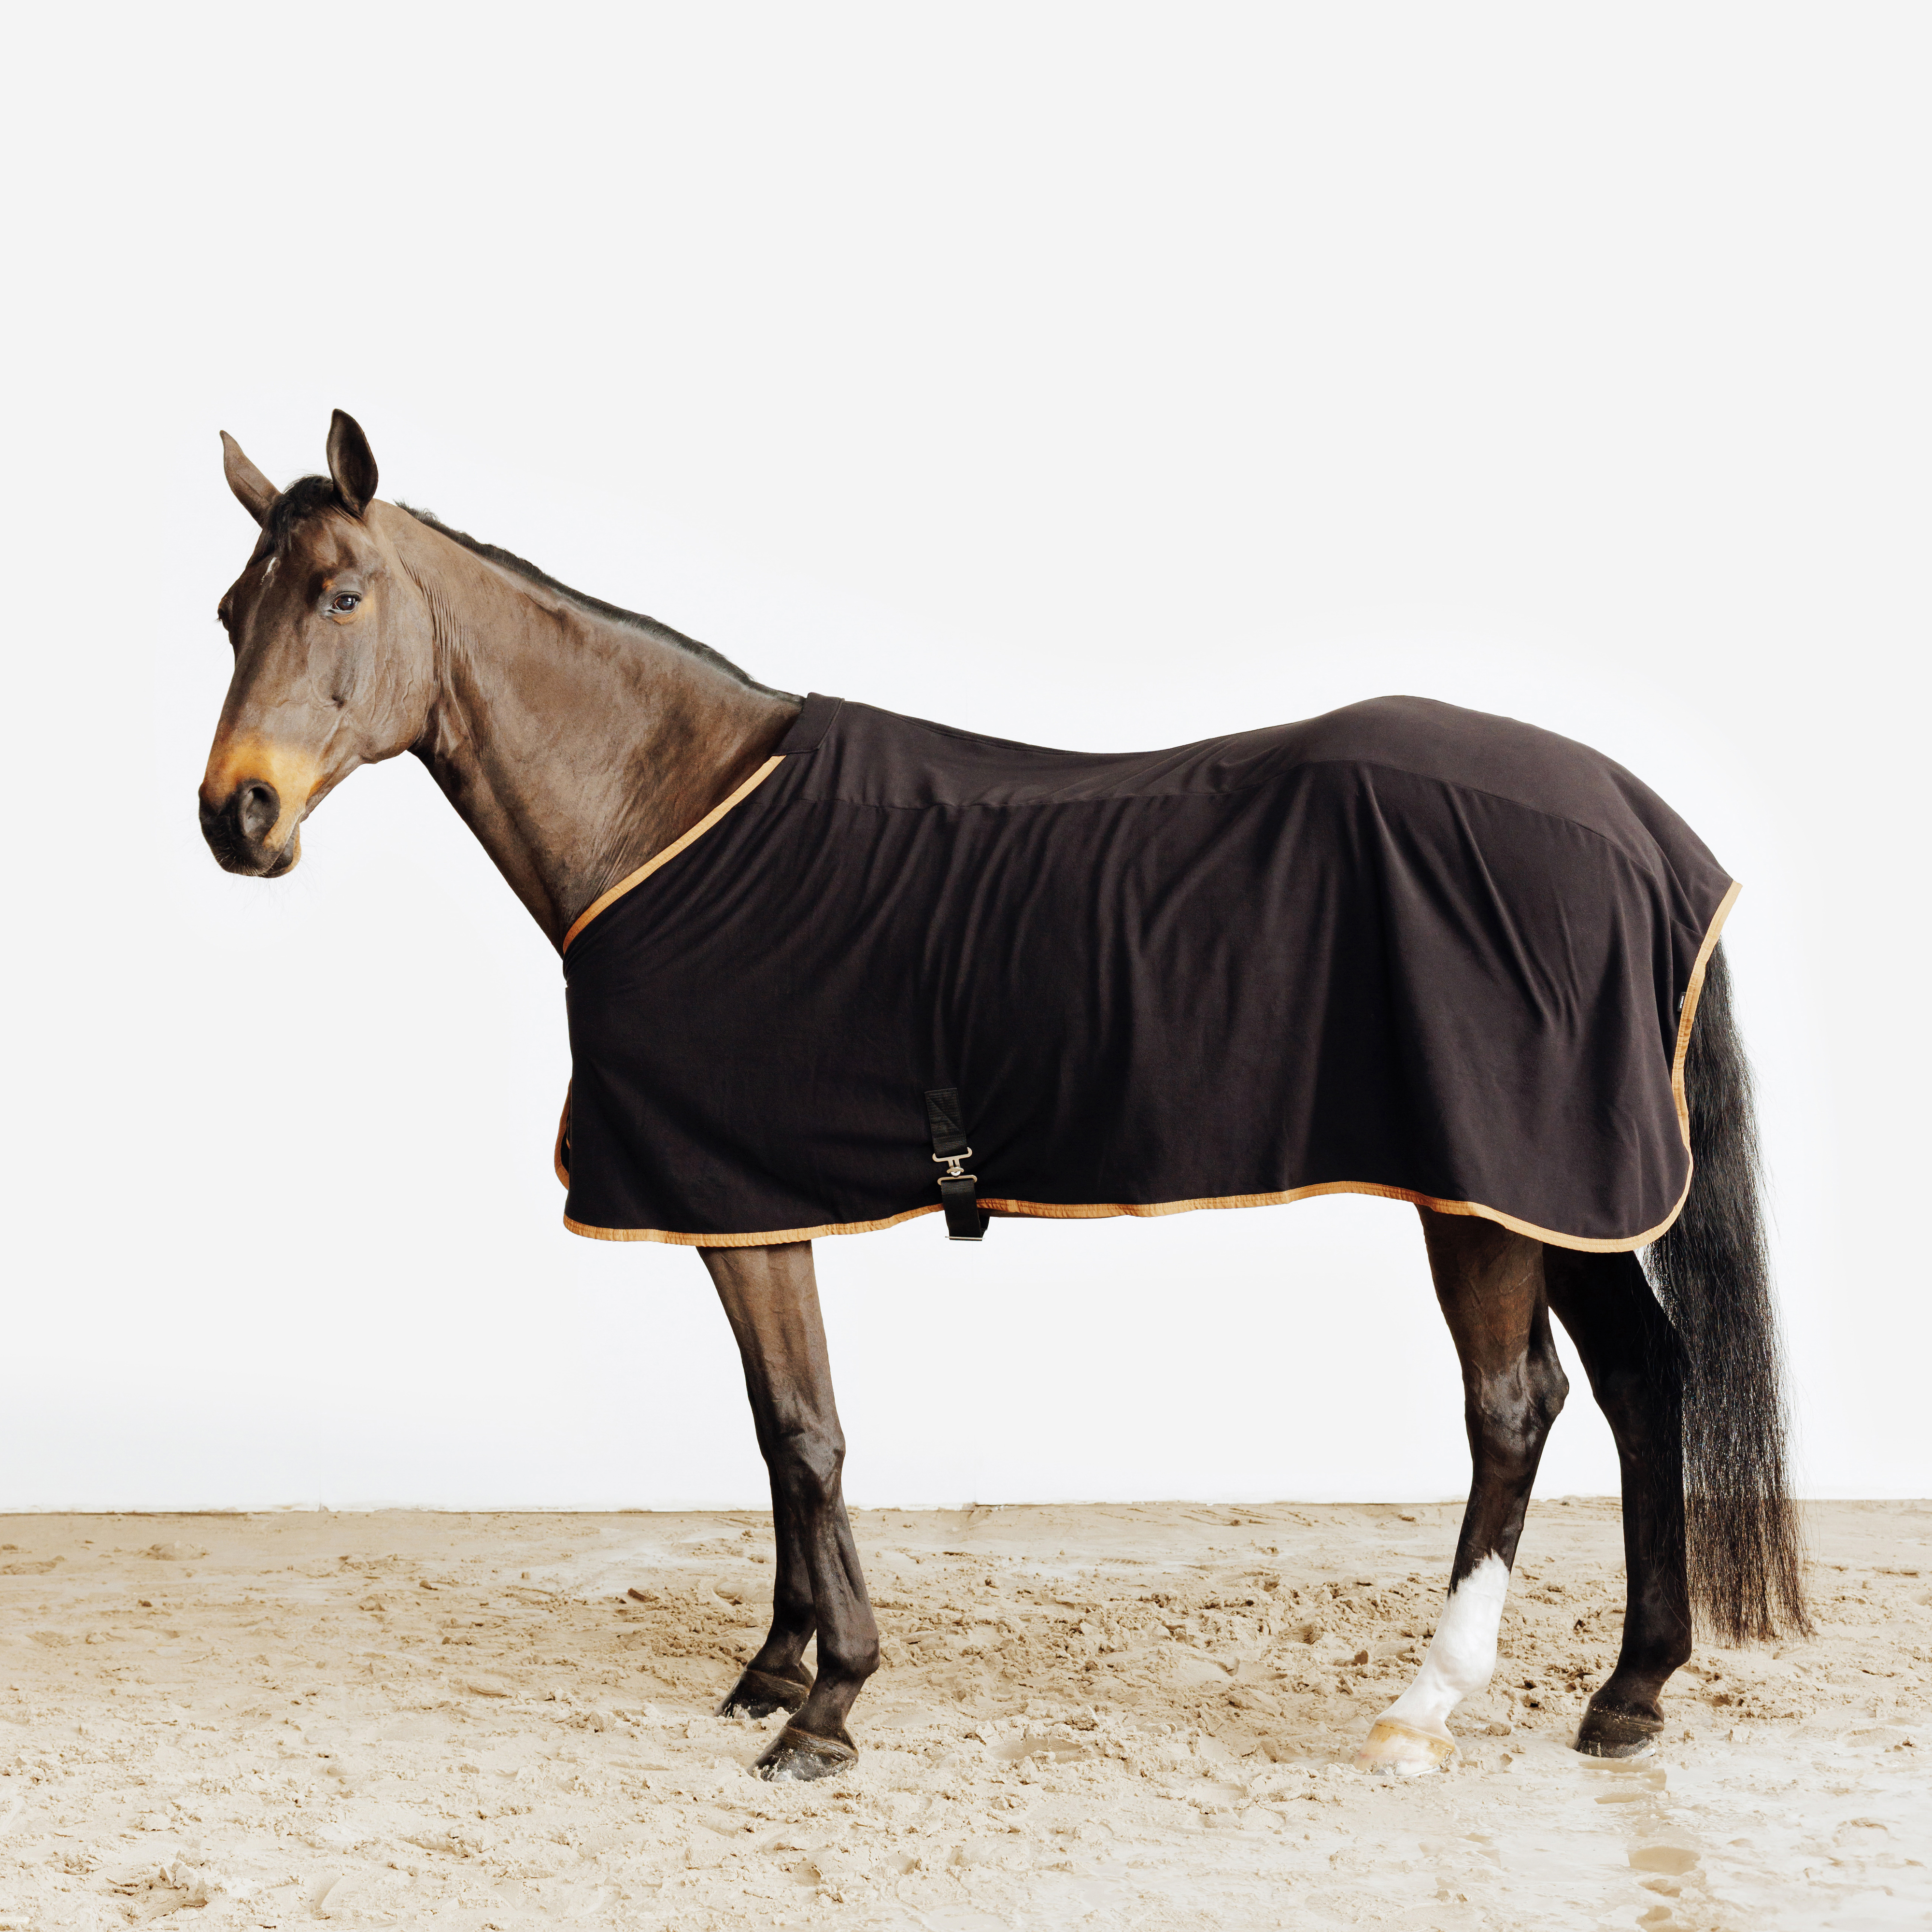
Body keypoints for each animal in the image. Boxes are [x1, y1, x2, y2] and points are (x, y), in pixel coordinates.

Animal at [199, 410, 1808, 1784]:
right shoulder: (744, 1209)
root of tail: (1637, 825)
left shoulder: (740, 1199)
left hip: (1483, 1196)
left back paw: (1425, 1704)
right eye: (229, 612)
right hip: (1563, 1189)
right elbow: (774, 1429)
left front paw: (830, 1703)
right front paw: (777, 1667)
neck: (676, 812)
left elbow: (807, 1431)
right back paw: (1632, 1689)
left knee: (1514, 1405)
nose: (238, 815)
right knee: (1642, 1377)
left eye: (341, 595)